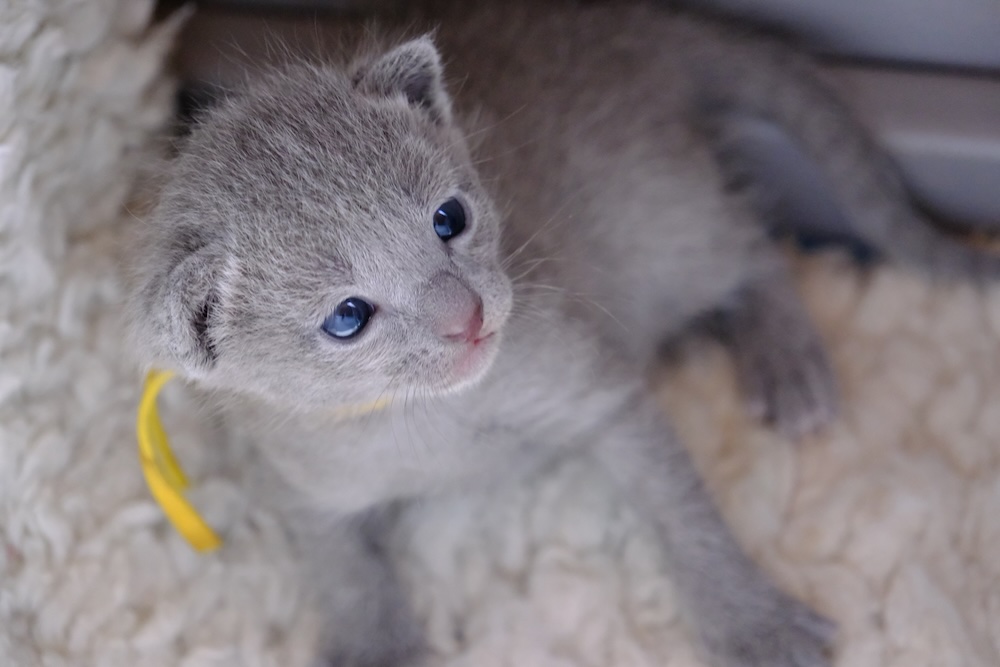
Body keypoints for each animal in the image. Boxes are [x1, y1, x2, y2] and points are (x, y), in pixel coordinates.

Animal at [125, 1, 1000, 666]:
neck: (433, 421)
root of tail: (626, 24)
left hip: (663, 218)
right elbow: (343, 572)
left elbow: (683, 510)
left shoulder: (599, 389)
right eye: (347, 317)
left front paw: (752, 622)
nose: (468, 315)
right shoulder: (304, 486)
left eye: (449, 218)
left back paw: (788, 361)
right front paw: (375, 645)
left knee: (754, 249)